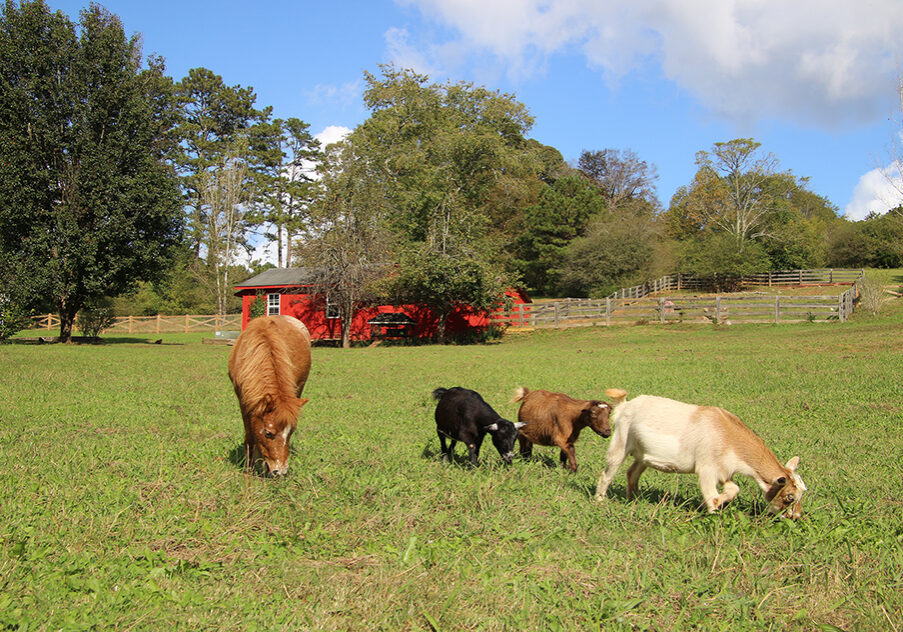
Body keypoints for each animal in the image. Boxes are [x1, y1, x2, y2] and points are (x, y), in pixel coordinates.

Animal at [228, 315, 311, 476]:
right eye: (267, 433)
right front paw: (249, 469)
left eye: (291, 432)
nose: (280, 472)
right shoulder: (244, 401)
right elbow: (250, 436)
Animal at [594, 389, 806, 519]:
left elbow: (733, 489)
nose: (795, 517)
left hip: (643, 455)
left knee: (632, 472)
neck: (727, 435)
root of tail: (625, 404)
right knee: (607, 473)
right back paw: (600, 500)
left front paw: (718, 502)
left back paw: (634, 500)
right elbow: (711, 494)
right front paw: (713, 513)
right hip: (620, 442)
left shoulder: (724, 471)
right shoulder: (706, 468)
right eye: (789, 497)